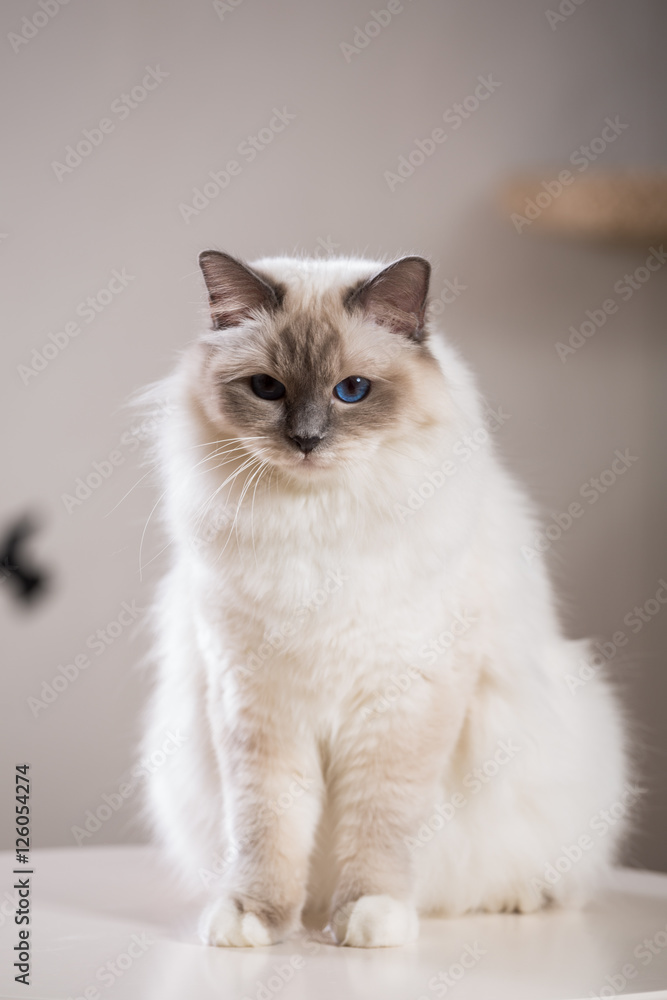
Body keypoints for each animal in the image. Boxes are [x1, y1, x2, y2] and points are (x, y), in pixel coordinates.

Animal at [142, 250, 632, 944]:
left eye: (352, 391)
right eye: (267, 389)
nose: (306, 440)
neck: (317, 527)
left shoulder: (401, 702)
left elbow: (379, 824)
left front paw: (368, 920)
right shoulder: (259, 702)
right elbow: (268, 829)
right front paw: (255, 921)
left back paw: (519, 899)